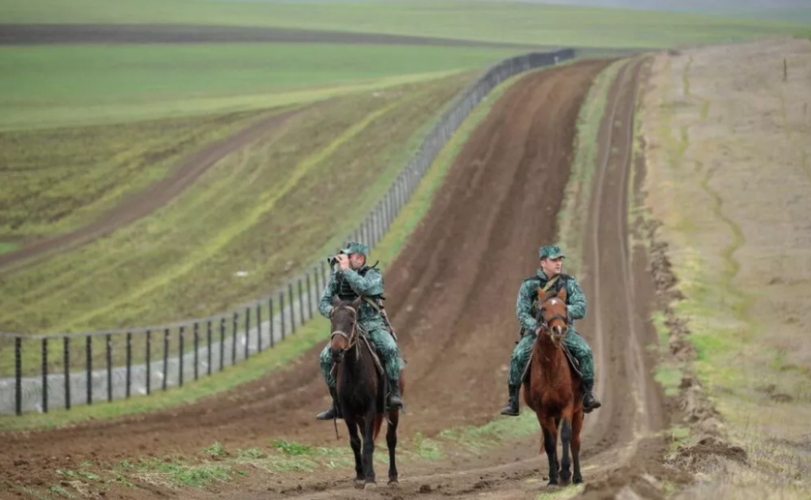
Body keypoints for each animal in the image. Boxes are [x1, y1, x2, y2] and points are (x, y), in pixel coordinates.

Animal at [328, 296, 404, 488]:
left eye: (351, 321)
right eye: (333, 320)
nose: (336, 351)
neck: (354, 370)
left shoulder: (370, 409)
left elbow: (369, 442)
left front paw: (370, 478)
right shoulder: (348, 411)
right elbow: (356, 442)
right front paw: (361, 475)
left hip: (392, 411)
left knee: (391, 439)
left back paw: (393, 477)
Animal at [524, 288, 588, 486]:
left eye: (565, 308)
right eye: (543, 309)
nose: (558, 330)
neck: (550, 367)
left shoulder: (567, 405)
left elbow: (566, 436)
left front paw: (566, 472)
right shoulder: (542, 412)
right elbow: (550, 442)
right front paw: (553, 476)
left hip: (578, 412)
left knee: (575, 441)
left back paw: (577, 476)